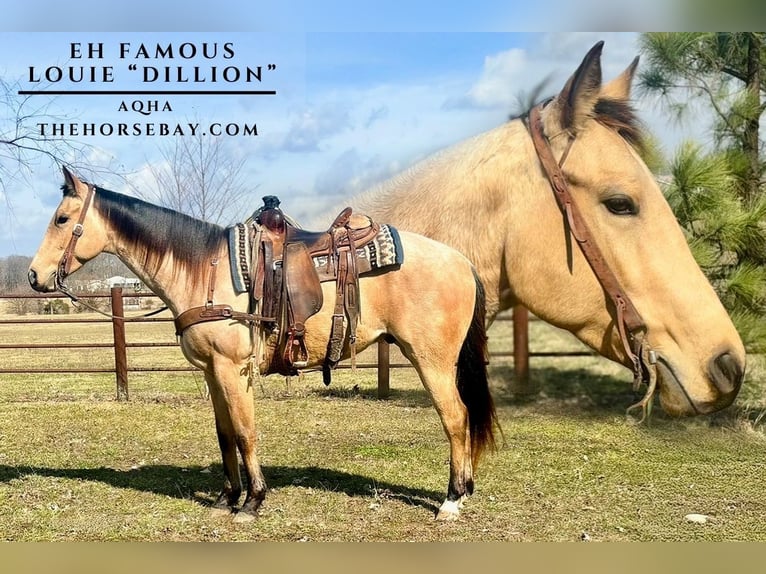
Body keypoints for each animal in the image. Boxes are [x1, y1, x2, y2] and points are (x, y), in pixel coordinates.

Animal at [27, 167, 498, 522]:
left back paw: (452, 500)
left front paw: (252, 502)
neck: (204, 269)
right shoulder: (211, 371)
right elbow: (224, 434)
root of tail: (460, 259)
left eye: (62, 219)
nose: (34, 276)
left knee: (456, 418)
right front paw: (226, 499)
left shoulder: (232, 368)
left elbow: (246, 432)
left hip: (431, 360)